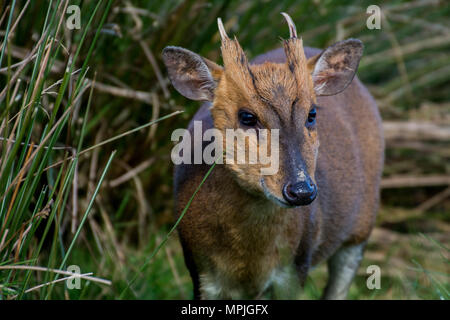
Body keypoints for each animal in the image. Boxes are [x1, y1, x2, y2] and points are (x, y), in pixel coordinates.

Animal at [163, 13, 384, 298]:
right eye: (247, 116)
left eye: (312, 113)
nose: (301, 190)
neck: (247, 262)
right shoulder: (198, 268)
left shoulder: (296, 265)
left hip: (361, 225)